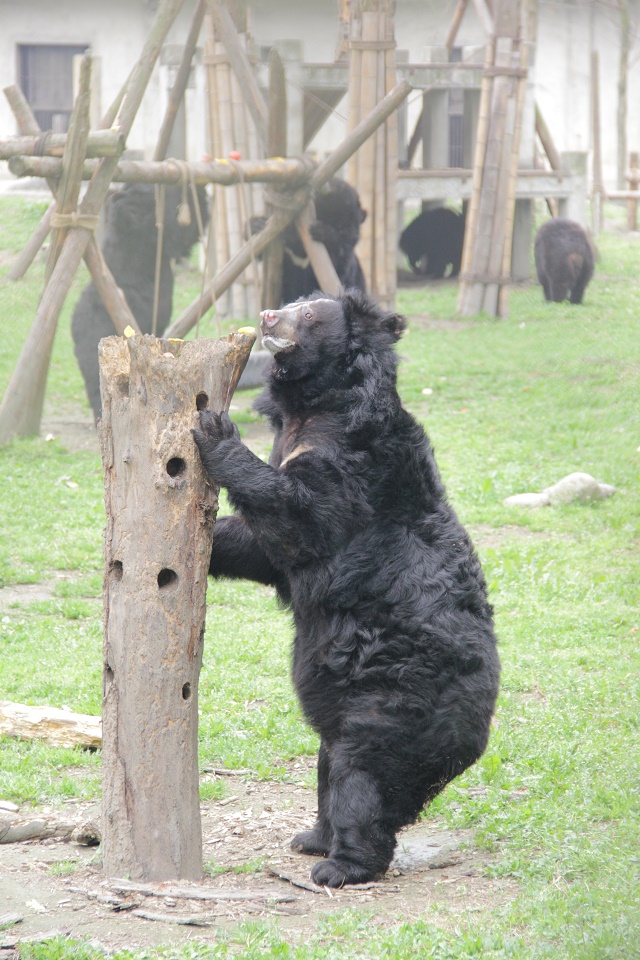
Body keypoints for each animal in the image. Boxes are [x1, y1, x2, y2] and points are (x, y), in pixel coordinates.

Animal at [192, 290, 502, 884]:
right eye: (294, 300)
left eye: (311, 314)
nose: (267, 316)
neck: (312, 410)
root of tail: (472, 737)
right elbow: (261, 549)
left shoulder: (357, 467)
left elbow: (303, 517)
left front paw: (215, 430)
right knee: (330, 768)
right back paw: (312, 838)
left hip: (387, 705)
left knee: (361, 782)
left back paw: (341, 865)